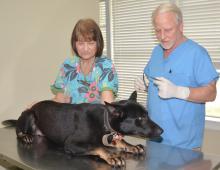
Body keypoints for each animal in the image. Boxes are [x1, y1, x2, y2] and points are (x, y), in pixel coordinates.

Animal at [2, 91, 162, 167]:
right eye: (140, 118)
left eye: (146, 114)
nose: (162, 131)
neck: (104, 120)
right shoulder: (71, 144)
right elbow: (97, 146)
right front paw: (112, 156)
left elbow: (118, 141)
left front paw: (131, 146)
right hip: (29, 114)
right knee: (19, 131)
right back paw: (25, 136)